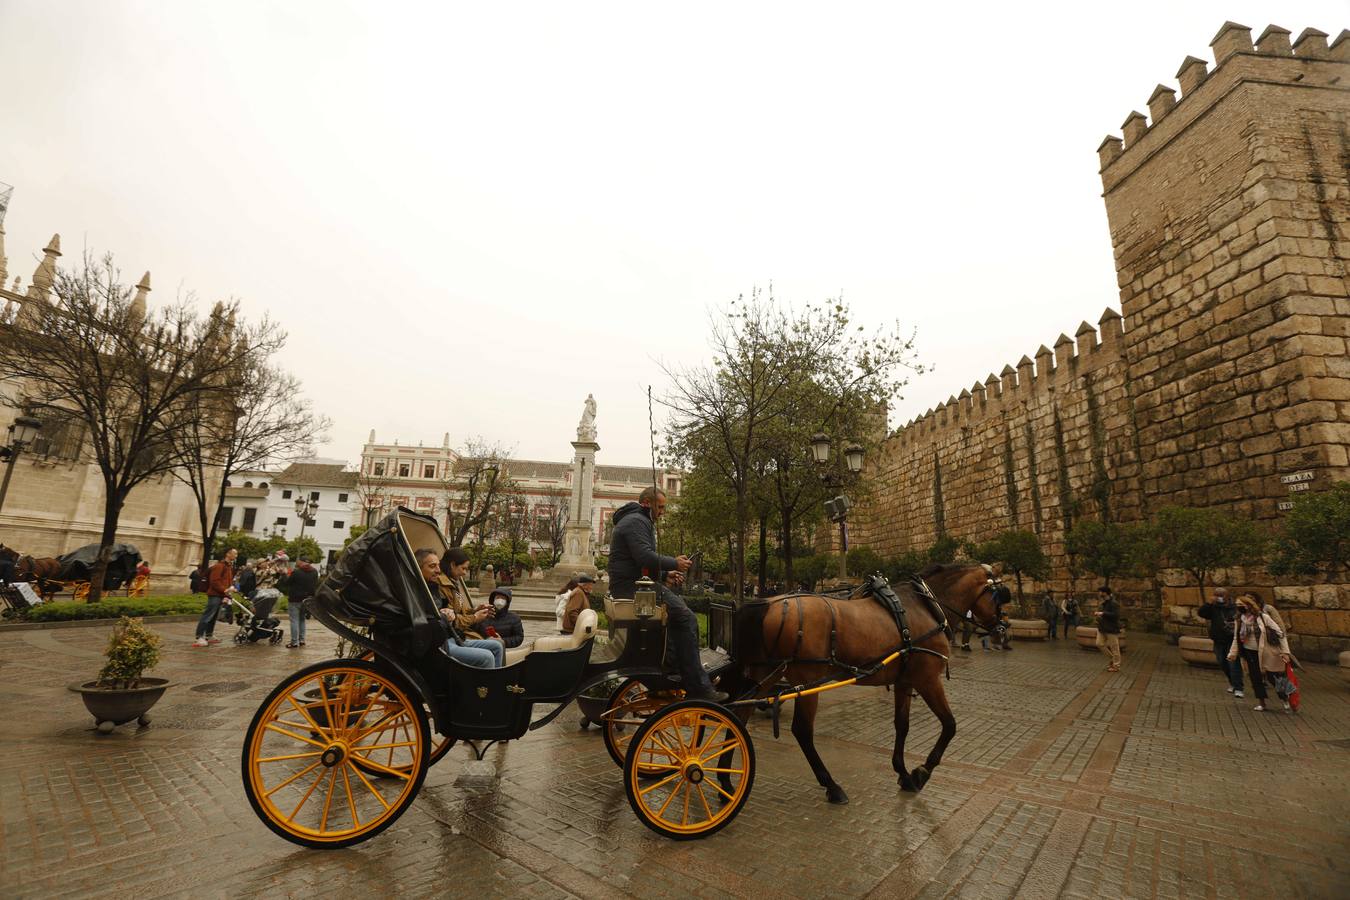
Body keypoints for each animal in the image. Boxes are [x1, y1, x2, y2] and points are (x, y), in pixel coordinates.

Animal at [729, 566, 1004, 804]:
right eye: (998, 596)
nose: (1002, 629)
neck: (926, 606)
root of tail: (766, 604)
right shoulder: (927, 680)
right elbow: (949, 725)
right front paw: (922, 772)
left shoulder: (904, 681)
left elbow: (902, 726)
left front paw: (903, 773)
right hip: (806, 681)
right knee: (802, 731)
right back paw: (832, 786)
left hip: (766, 673)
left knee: (739, 716)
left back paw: (727, 784)